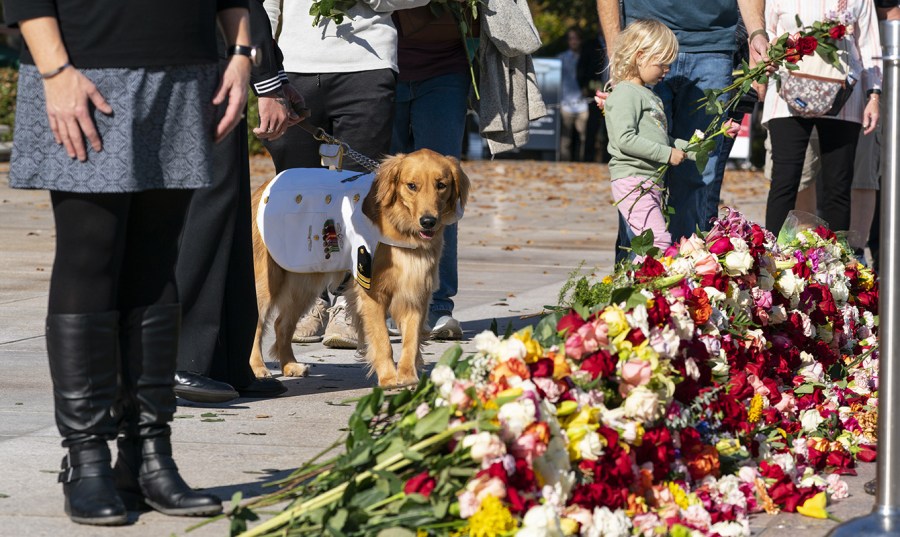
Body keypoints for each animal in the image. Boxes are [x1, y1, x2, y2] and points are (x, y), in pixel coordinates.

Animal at [248, 148, 472, 386]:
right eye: (412, 185)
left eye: (441, 185)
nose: (428, 221)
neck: (400, 229)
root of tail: (265, 186)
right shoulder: (372, 293)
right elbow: (382, 340)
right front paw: (389, 378)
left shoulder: (416, 291)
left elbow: (411, 341)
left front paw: (408, 377)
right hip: (267, 284)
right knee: (258, 324)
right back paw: (258, 368)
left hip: (304, 282)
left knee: (281, 323)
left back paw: (290, 364)